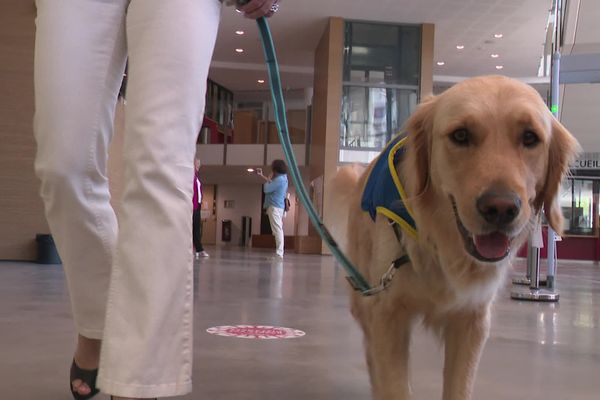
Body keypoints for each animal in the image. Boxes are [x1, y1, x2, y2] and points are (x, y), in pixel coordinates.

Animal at [330, 76, 580, 400]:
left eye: (530, 137)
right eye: (461, 135)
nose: (501, 208)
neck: (440, 247)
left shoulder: (471, 320)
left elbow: (459, 385)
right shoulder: (388, 314)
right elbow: (394, 383)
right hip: (364, 293)